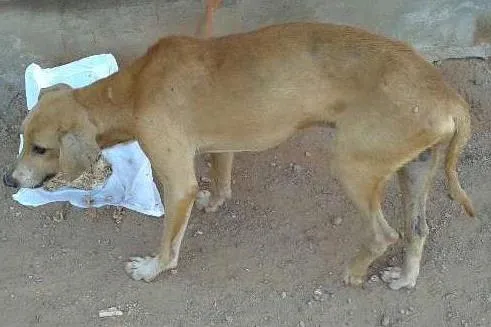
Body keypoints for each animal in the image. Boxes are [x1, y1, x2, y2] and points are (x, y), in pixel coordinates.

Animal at [2, 23, 476, 290]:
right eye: (23, 140)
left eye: (42, 149)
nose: (9, 181)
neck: (133, 90)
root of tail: (449, 97)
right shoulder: (220, 143)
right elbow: (222, 178)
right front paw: (215, 200)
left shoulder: (177, 182)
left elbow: (170, 243)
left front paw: (153, 269)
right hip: (414, 169)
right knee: (417, 230)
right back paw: (405, 278)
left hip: (353, 168)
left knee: (384, 234)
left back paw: (356, 272)